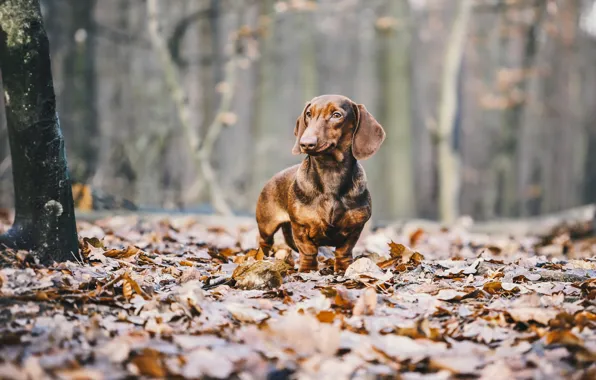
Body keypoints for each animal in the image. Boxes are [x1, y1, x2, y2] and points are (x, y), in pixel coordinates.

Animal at [256, 95, 386, 274]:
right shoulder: (300, 226)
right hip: (266, 226)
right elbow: (308, 250)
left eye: (337, 115)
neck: (330, 171)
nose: (305, 143)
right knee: (265, 243)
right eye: (309, 114)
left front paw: (344, 268)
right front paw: (307, 269)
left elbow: (344, 251)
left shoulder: (355, 228)